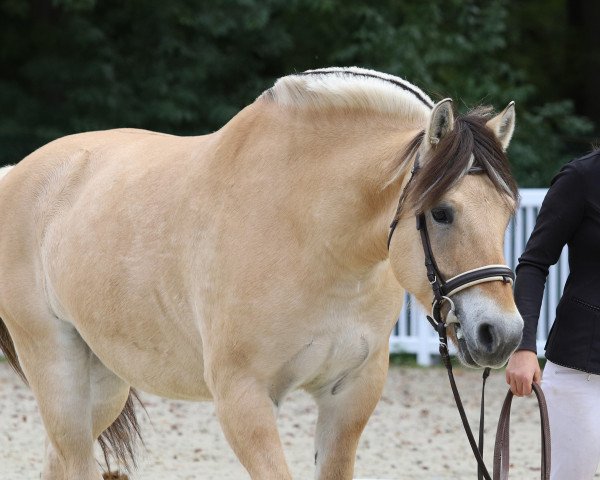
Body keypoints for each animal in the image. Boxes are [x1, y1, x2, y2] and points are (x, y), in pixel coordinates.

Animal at [0, 65, 524, 478]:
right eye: (442, 212)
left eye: (509, 211)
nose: (501, 334)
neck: (310, 233)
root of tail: (18, 172)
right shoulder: (244, 399)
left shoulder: (350, 395)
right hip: (56, 366)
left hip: (102, 382)